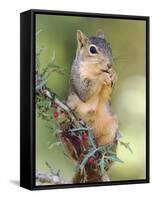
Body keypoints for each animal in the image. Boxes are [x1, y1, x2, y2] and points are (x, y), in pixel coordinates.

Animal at [65, 30, 118, 183]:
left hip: (111, 129)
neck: (94, 70)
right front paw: (102, 77)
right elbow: (85, 92)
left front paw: (114, 74)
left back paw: (104, 157)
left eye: (110, 46)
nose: (109, 65)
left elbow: (106, 95)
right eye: (92, 50)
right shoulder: (77, 77)